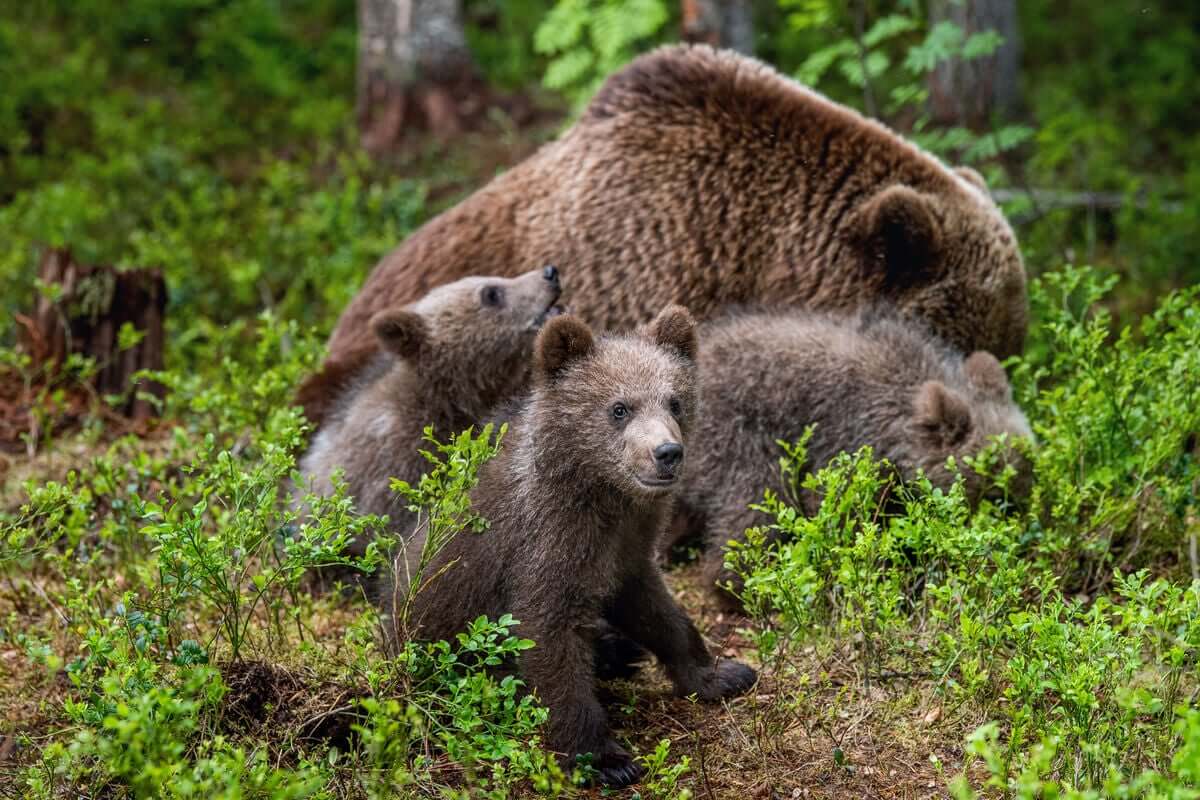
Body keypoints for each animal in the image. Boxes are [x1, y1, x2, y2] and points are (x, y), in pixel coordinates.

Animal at [385, 307, 757, 787]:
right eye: (619, 408)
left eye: (674, 401)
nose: (667, 452)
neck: (602, 492)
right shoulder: (547, 540)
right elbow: (549, 635)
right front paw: (605, 758)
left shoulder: (627, 546)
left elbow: (655, 609)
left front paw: (721, 672)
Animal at [675, 307, 1033, 607]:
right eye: (994, 487)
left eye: (1028, 474)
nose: (1022, 533)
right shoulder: (848, 443)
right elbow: (844, 514)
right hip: (737, 438)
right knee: (754, 509)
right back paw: (745, 586)